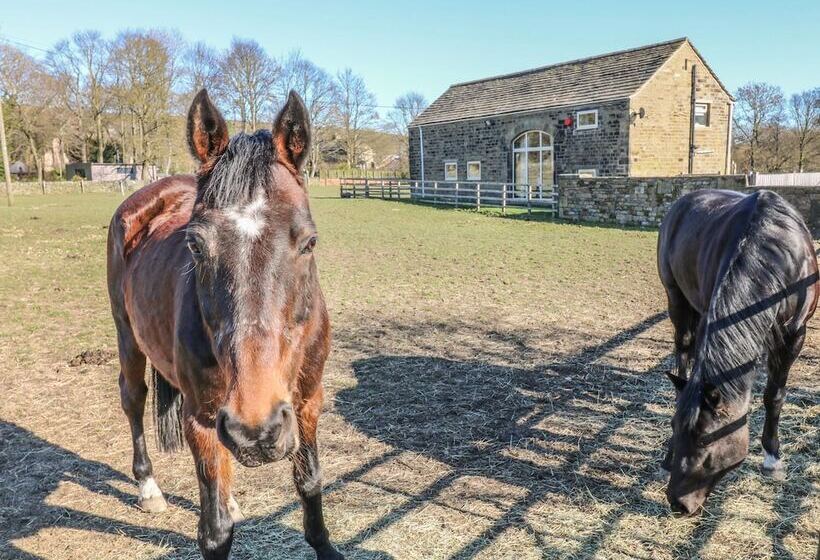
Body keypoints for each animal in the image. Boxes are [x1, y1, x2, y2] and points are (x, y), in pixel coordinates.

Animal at [106, 89, 342, 556]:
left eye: (309, 242)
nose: (256, 429)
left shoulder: (308, 402)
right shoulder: (200, 418)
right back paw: (148, 488)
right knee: (133, 399)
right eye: (195, 245)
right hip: (128, 337)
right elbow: (214, 531)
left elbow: (309, 482)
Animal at [656, 189, 816, 516]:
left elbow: (774, 395)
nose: (677, 503)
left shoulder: (795, 335)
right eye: (674, 426)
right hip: (676, 300)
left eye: (707, 439)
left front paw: (772, 458)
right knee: (683, 354)